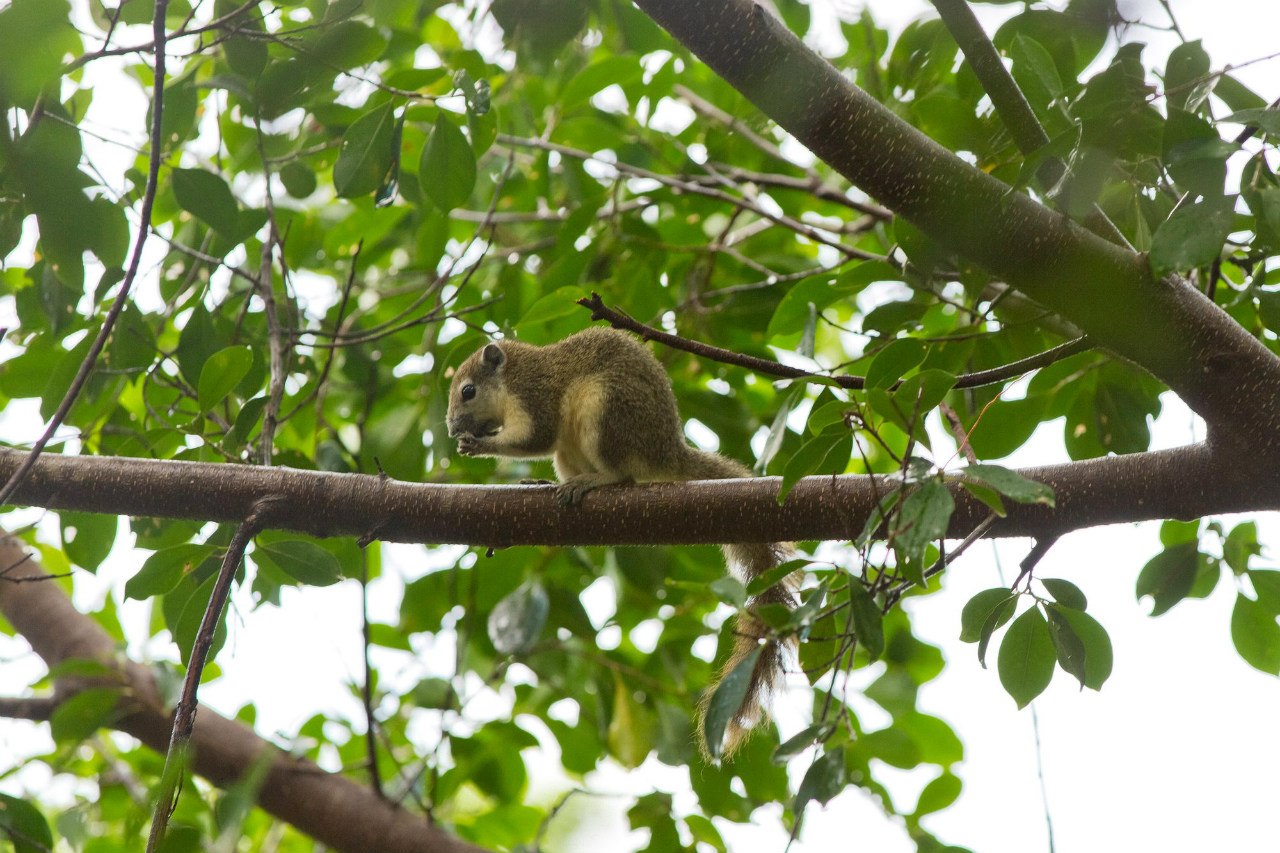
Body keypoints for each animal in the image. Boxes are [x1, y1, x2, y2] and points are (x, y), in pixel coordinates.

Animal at [448, 325, 788, 753]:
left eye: (468, 391)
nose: (452, 429)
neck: (513, 376)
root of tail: (667, 452)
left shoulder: (536, 397)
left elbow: (535, 438)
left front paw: (480, 444)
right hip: (570, 453)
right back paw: (548, 484)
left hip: (606, 410)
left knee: (622, 474)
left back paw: (596, 481)